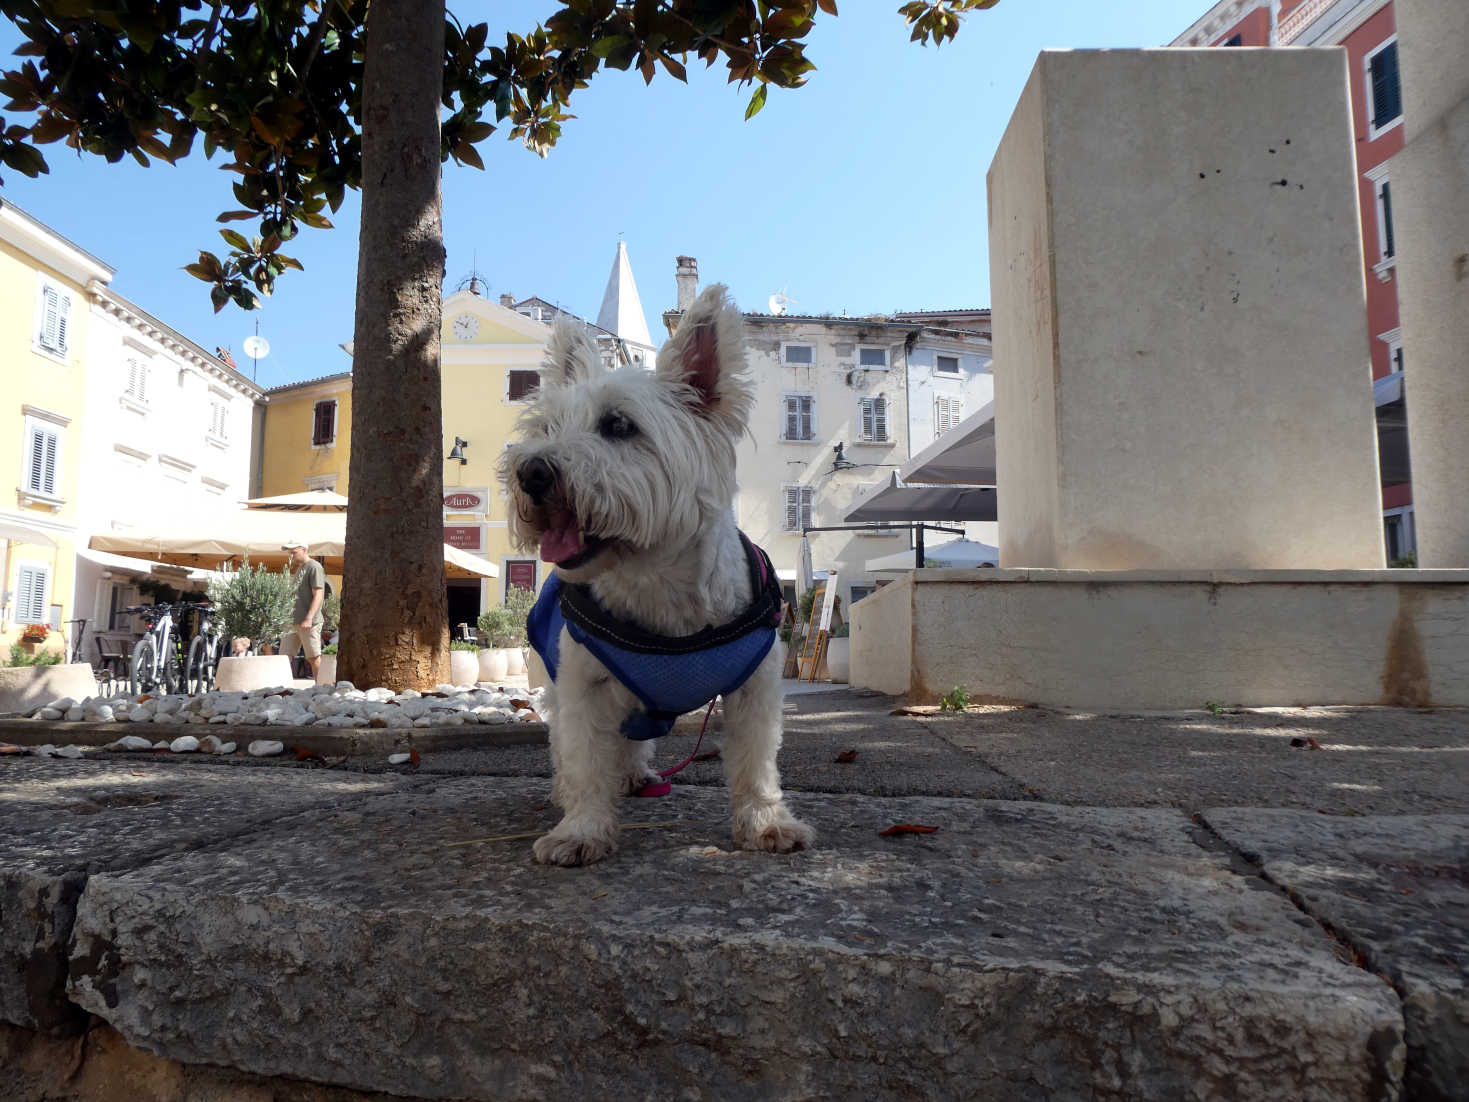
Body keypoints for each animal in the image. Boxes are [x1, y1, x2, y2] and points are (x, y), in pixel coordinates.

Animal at [499, 285, 810, 869]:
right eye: (546, 428)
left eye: (619, 425)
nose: (530, 472)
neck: (655, 581)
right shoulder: (584, 684)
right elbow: (585, 757)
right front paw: (582, 828)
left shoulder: (755, 686)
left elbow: (755, 762)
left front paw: (765, 824)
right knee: (572, 745)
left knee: (632, 741)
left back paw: (636, 774)